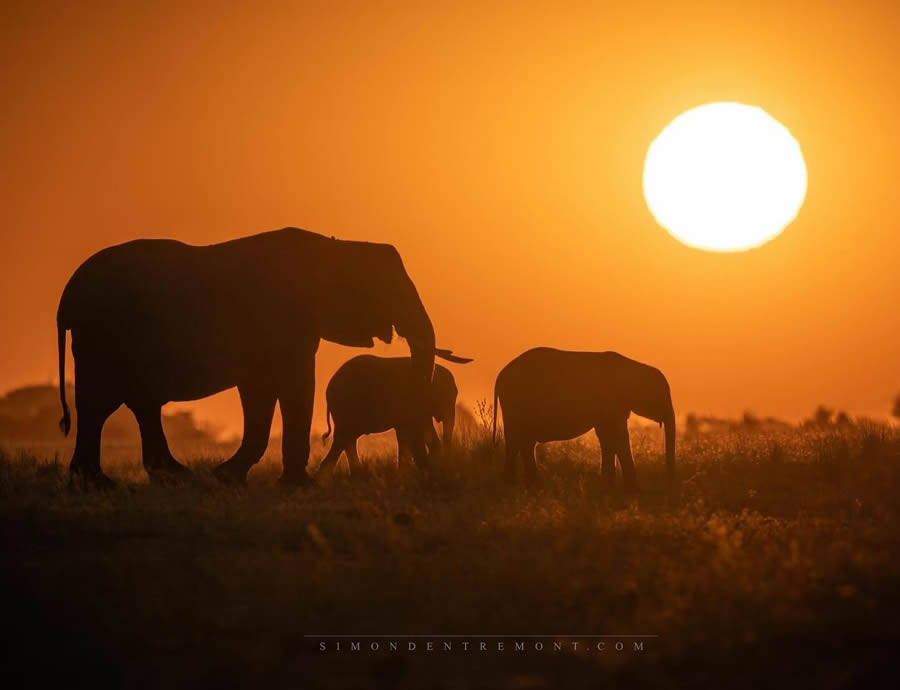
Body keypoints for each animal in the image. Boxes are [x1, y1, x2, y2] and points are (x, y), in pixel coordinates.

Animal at [492, 344, 676, 490]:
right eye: (662, 396)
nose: (668, 483)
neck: (634, 367)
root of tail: (500, 375)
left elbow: (607, 436)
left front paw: (609, 487)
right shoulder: (612, 402)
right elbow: (618, 436)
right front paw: (632, 490)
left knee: (524, 442)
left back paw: (529, 485)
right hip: (515, 404)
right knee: (516, 441)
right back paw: (515, 485)